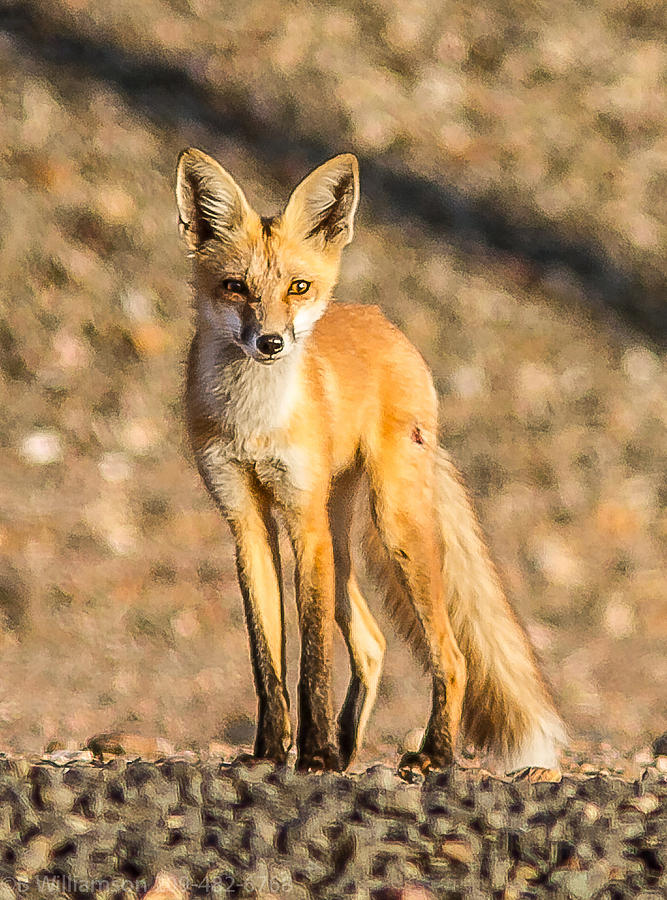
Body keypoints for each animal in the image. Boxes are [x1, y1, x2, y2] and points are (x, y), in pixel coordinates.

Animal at [175, 147, 566, 777]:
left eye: (298, 287)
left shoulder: (302, 522)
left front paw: (312, 754)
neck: (253, 423)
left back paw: (432, 754)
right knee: (374, 642)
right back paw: (348, 748)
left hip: (393, 527)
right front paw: (271, 752)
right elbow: (267, 660)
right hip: (341, 544)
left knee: (451, 654)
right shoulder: (246, 522)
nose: (270, 343)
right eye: (234, 287)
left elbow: (312, 658)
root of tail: (385, 322)